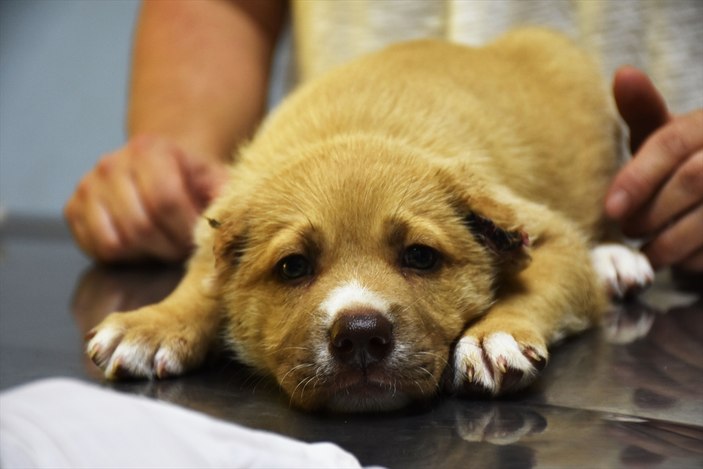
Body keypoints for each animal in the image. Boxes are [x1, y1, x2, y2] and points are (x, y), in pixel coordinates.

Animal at [86, 28, 656, 410]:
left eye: (421, 257)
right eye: (293, 266)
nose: (361, 336)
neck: (357, 130)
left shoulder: (545, 233)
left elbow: (539, 283)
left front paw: (496, 335)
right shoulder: (221, 223)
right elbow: (201, 282)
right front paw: (152, 325)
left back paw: (615, 259)